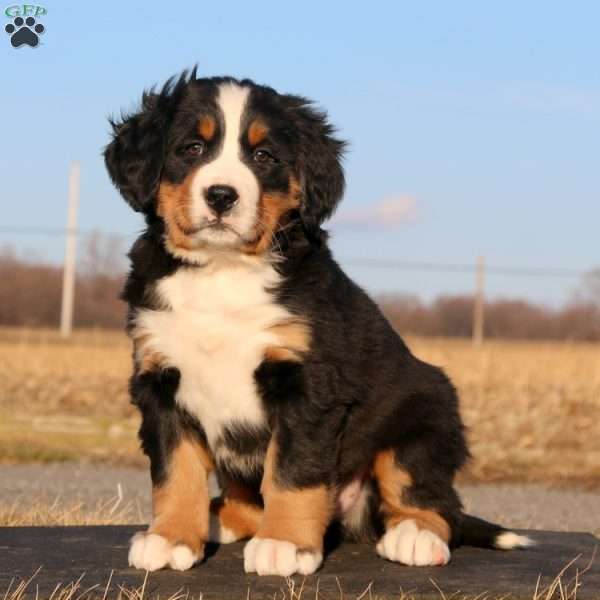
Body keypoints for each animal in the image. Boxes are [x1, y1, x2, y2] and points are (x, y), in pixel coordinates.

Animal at [105, 69, 532, 576]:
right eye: (191, 148)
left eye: (264, 156)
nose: (222, 195)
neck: (222, 270)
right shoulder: (160, 379)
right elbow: (176, 471)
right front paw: (170, 538)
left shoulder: (309, 383)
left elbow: (293, 469)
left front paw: (285, 544)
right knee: (248, 500)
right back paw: (216, 517)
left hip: (424, 414)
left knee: (432, 497)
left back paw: (414, 536)